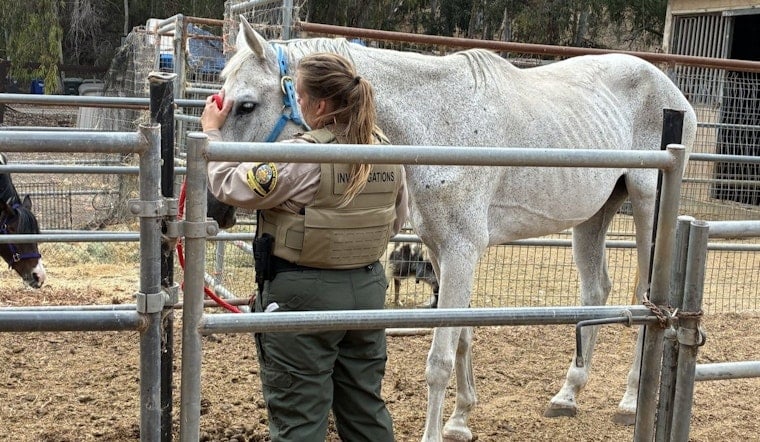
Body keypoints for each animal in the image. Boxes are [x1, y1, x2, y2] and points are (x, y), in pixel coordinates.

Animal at [207, 18, 697, 441]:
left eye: (246, 104)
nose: (215, 205)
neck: (438, 123)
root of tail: (674, 92)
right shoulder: (443, 253)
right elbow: (462, 333)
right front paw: (461, 419)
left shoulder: (462, 251)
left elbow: (439, 359)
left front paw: (438, 430)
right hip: (594, 215)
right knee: (596, 291)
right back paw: (567, 395)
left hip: (648, 209)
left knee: (645, 297)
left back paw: (630, 402)